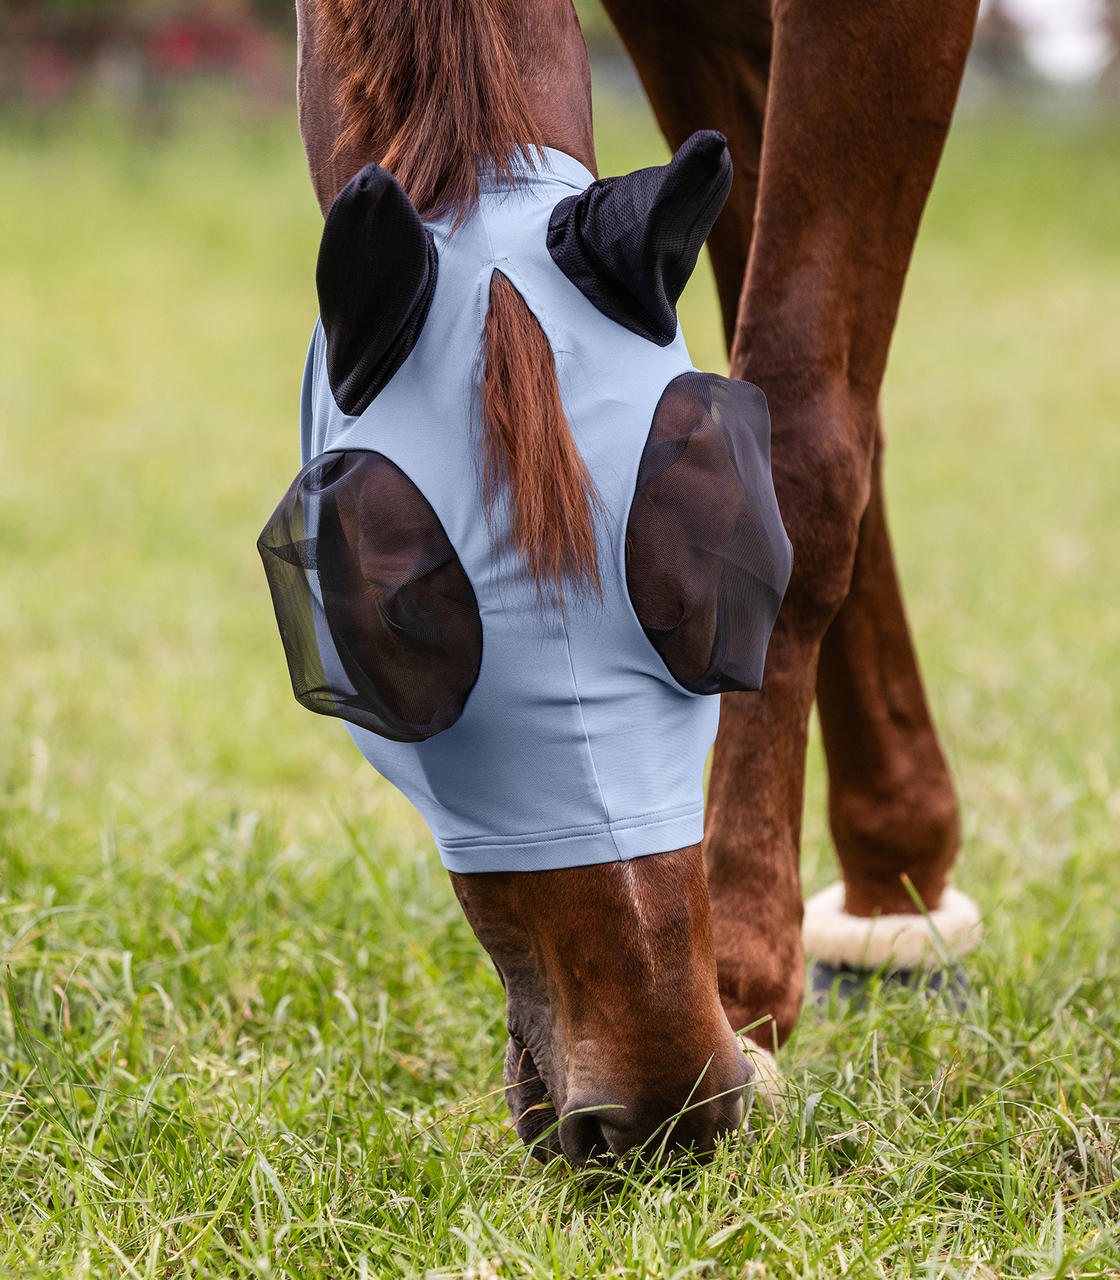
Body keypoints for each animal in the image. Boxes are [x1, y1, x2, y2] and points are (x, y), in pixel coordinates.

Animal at [280, 0, 983, 1167]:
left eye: (725, 561)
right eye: (393, 620)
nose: (663, 1100)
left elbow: (810, 427)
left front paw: (749, 967)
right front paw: (890, 875)